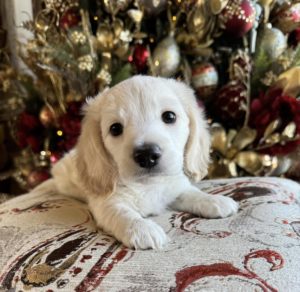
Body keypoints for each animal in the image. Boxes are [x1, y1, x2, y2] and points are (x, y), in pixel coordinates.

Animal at [50, 76, 238, 250]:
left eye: (169, 116)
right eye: (115, 128)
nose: (147, 155)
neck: (148, 184)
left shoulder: (174, 187)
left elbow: (190, 192)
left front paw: (213, 200)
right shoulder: (105, 203)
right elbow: (121, 212)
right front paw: (142, 229)